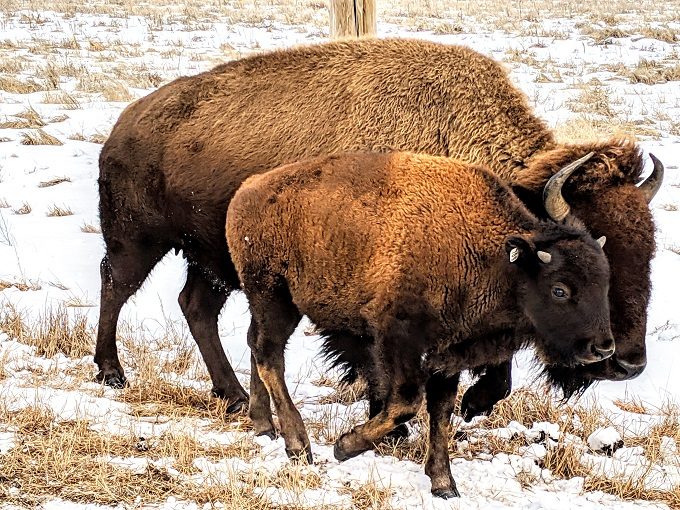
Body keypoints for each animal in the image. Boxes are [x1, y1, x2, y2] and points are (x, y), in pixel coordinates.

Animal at [95, 38, 660, 414]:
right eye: (588, 251)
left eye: (650, 251)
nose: (627, 361)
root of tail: (124, 123)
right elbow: (376, 362)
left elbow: (495, 365)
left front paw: (472, 405)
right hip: (136, 240)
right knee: (115, 287)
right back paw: (111, 373)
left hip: (214, 261)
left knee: (196, 306)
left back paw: (231, 396)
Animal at [227, 151, 616, 498]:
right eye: (560, 289)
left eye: (604, 281)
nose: (602, 347)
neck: (495, 257)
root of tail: (246, 191)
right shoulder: (399, 339)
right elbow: (406, 403)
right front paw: (345, 446)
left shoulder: (449, 355)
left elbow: (441, 412)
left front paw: (444, 484)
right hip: (273, 295)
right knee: (268, 354)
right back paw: (298, 445)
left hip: (270, 302)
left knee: (257, 347)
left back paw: (264, 425)